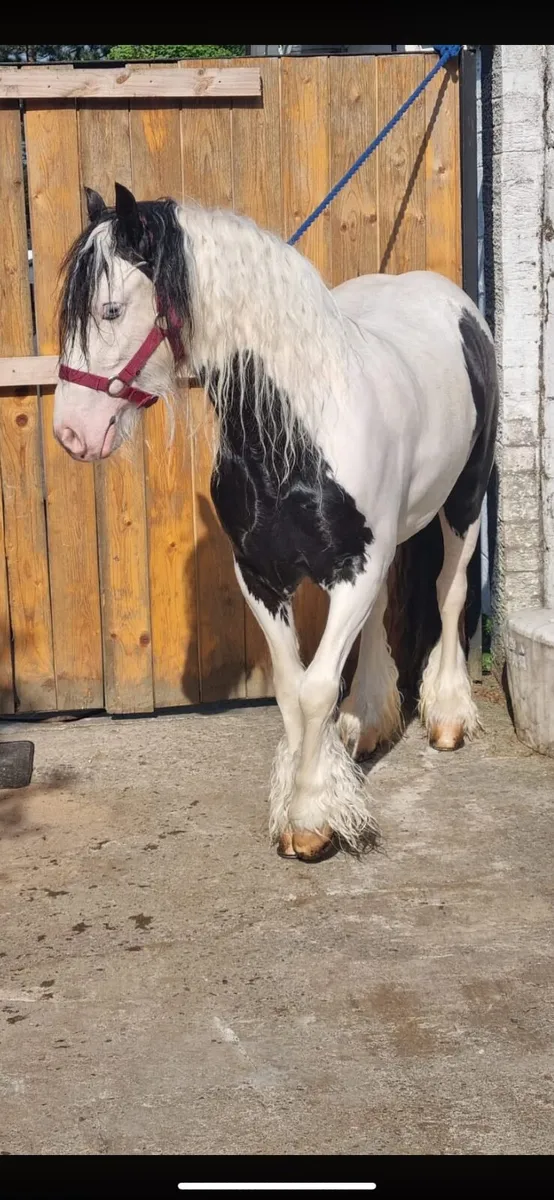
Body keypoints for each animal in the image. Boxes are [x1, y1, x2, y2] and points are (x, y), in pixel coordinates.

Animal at [54, 182, 498, 863]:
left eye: (109, 310)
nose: (72, 432)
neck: (296, 434)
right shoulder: (261, 576)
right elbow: (294, 688)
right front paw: (309, 800)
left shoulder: (353, 569)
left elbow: (315, 689)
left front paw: (314, 819)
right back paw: (368, 719)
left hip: (465, 500)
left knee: (449, 595)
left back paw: (447, 717)